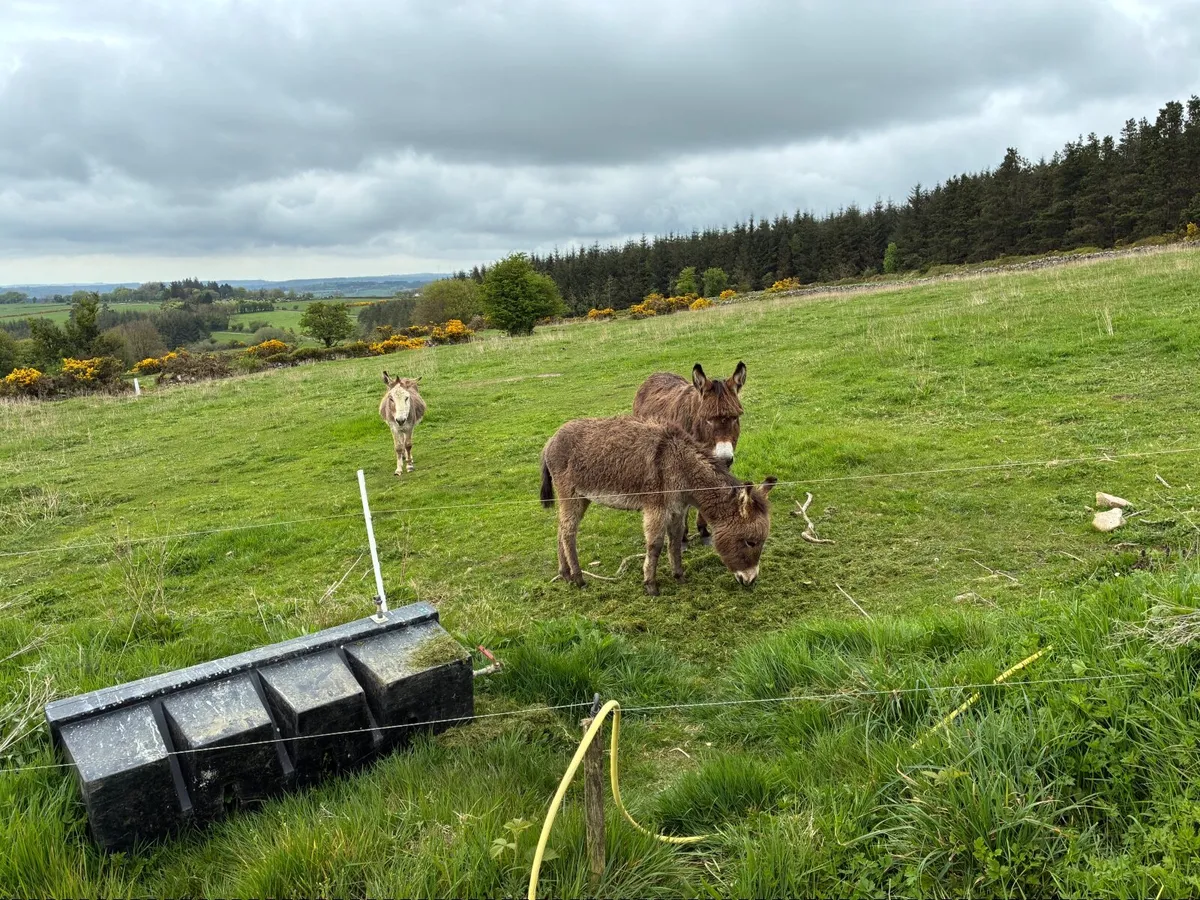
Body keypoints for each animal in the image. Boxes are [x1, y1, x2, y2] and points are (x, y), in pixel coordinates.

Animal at [540, 415, 776, 596]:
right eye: (751, 542)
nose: (750, 580)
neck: (680, 464)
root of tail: (550, 441)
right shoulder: (656, 509)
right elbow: (655, 545)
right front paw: (651, 585)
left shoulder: (677, 510)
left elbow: (675, 543)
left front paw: (679, 577)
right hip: (570, 495)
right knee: (568, 531)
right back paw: (578, 578)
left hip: (582, 498)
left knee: (561, 528)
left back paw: (565, 574)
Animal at [632, 361, 747, 545]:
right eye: (707, 419)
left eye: (735, 417)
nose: (725, 459)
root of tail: (657, 373)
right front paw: (683, 536)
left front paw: (703, 529)